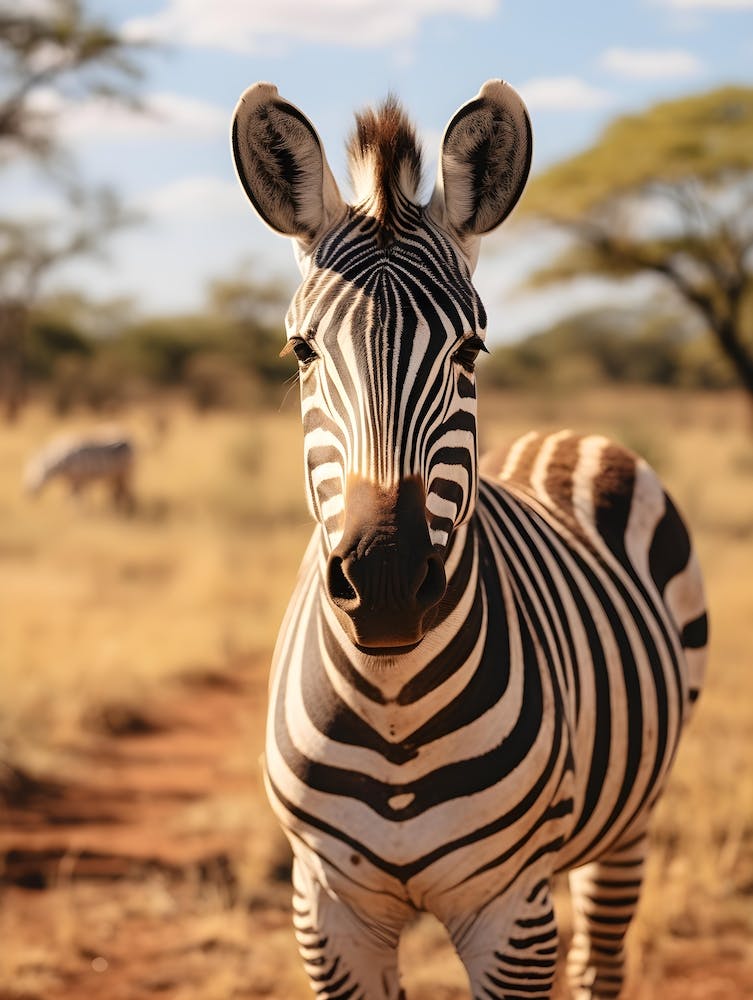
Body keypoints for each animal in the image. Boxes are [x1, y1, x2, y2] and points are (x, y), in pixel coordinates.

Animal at [231, 80, 708, 999]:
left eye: (471, 349)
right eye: (301, 351)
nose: (384, 585)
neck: (390, 703)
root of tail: (560, 435)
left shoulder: (508, 912)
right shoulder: (328, 911)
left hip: (631, 818)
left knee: (600, 960)